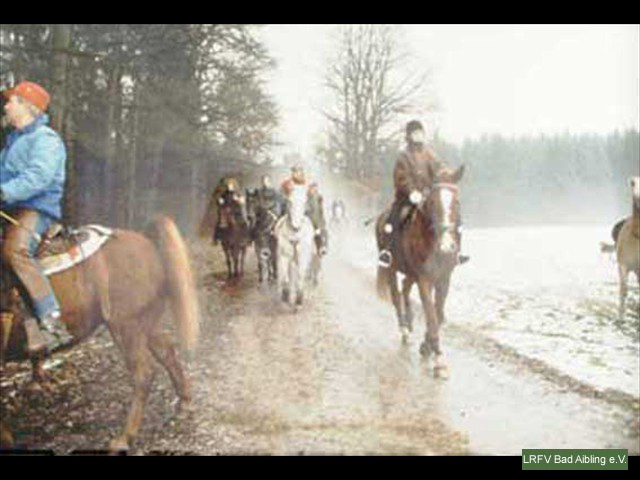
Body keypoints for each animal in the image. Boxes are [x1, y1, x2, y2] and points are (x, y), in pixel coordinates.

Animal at [0, 216, 200, 452]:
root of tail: (145, 240)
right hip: (146, 325)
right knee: (167, 353)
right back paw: (184, 402)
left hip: (126, 327)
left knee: (144, 373)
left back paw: (124, 438)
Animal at [376, 165, 464, 378]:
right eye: (432, 201)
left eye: (457, 201)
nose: (447, 246)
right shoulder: (425, 279)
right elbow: (431, 315)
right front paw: (439, 359)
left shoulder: (444, 279)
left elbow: (438, 312)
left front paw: (427, 346)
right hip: (391, 268)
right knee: (396, 295)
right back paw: (404, 329)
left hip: (411, 273)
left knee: (405, 288)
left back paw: (409, 323)